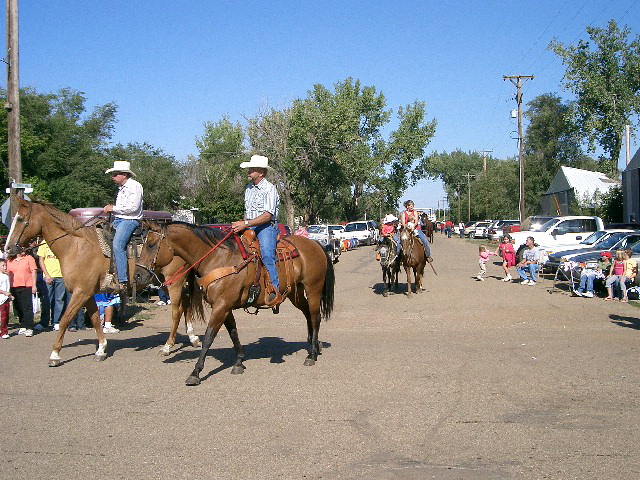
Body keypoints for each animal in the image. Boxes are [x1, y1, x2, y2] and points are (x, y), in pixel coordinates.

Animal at [4, 198, 200, 364]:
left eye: (20, 219)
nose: (8, 248)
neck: (76, 247)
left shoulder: (80, 292)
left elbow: (65, 318)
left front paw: (55, 354)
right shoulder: (88, 293)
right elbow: (95, 319)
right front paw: (101, 349)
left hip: (174, 282)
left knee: (177, 311)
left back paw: (168, 346)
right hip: (165, 283)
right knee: (185, 303)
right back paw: (193, 337)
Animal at [133, 222, 338, 386]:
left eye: (150, 245)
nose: (137, 276)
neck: (217, 259)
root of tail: (316, 244)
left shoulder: (221, 306)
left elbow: (209, 338)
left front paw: (195, 372)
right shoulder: (225, 306)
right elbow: (233, 332)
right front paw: (239, 361)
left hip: (313, 288)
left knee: (315, 316)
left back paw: (311, 354)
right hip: (295, 293)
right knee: (308, 315)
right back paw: (314, 344)